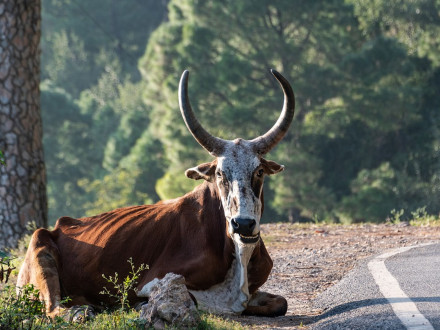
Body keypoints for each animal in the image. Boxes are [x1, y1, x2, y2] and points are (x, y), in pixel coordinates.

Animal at [17, 69, 294, 320]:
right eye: (219, 174)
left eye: (259, 171)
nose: (243, 224)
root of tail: (57, 226)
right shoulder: (153, 282)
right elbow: (186, 300)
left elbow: (281, 303)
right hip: (40, 250)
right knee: (53, 308)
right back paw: (79, 312)